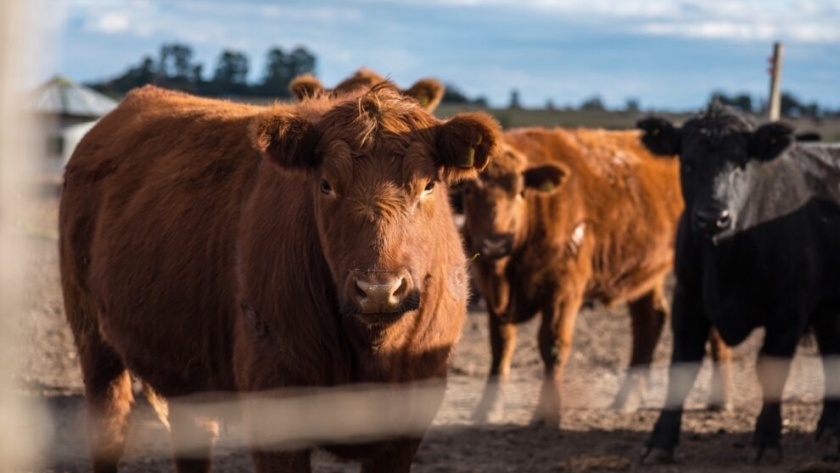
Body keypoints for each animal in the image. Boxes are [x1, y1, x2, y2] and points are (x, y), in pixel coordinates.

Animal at [60, 77, 506, 472]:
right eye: (326, 184)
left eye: (428, 185)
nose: (379, 289)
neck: (372, 350)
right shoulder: (273, 408)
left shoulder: (407, 423)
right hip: (93, 341)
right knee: (109, 428)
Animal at [460, 127, 736, 426]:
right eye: (469, 191)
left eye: (520, 192)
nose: (495, 243)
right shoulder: (493, 295)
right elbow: (501, 346)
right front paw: (489, 408)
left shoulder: (563, 290)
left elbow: (553, 345)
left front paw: (547, 414)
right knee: (649, 320)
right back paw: (627, 399)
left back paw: (720, 400)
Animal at [636, 104, 840, 464]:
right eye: (688, 162)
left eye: (741, 163)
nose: (712, 218)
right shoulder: (688, 300)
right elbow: (682, 367)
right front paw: (660, 441)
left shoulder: (790, 310)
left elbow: (772, 367)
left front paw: (767, 441)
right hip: (827, 309)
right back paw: (828, 428)